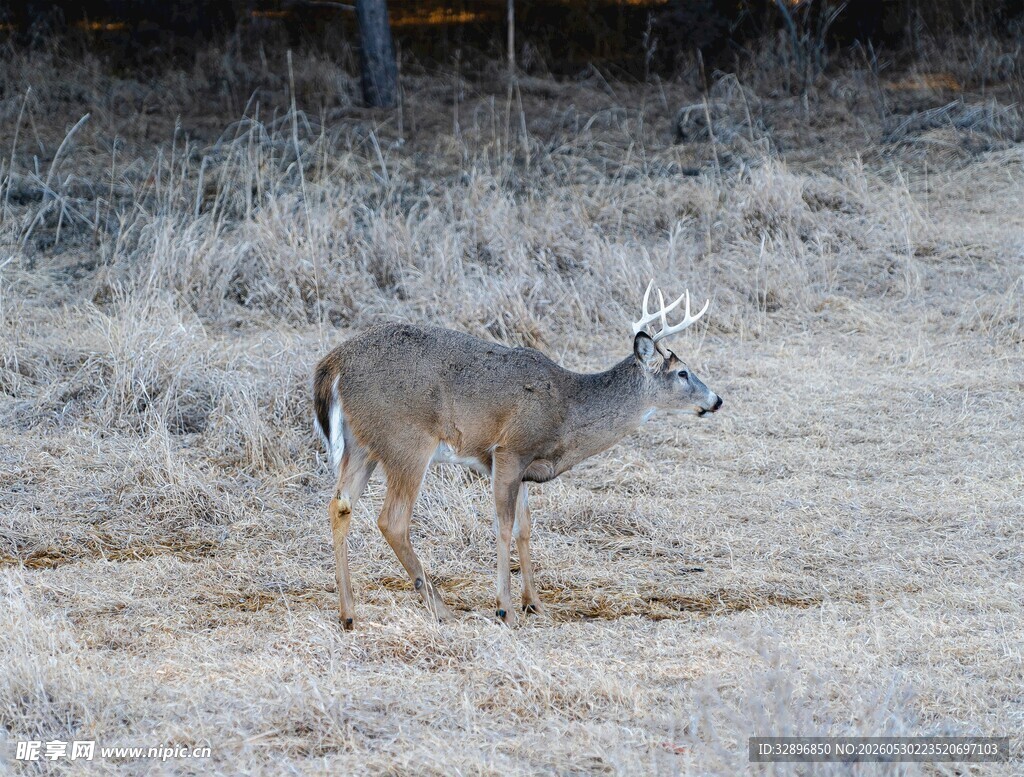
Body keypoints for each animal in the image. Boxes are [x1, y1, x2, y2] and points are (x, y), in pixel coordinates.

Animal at [313, 281, 723, 629]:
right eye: (683, 373)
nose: (716, 400)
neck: (567, 410)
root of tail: (333, 364)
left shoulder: (524, 467)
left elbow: (525, 528)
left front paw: (534, 603)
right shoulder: (508, 450)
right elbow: (504, 527)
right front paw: (505, 609)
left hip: (361, 444)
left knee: (340, 505)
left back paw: (348, 614)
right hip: (407, 441)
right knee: (392, 520)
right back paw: (441, 609)